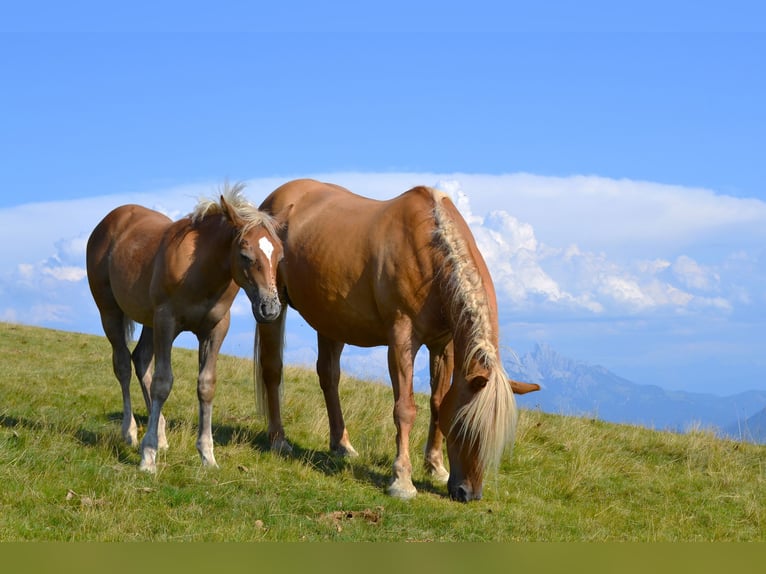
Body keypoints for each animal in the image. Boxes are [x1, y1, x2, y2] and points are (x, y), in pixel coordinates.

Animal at [86, 183, 284, 473]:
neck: (201, 272)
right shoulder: (166, 322)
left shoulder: (215, 330)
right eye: (245, 255)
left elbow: (206, 385)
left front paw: (207, 455)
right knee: (123, 365)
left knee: (141, 360)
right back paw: (131, 432)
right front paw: (148, 456)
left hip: (149, 322)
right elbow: (162, 383)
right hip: (110, 312)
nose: (269, 309)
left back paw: (161, 434)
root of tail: (108, 221)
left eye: (280, 255)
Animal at [254, 178, 526, 502]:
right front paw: (402, 480)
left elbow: (437, 402)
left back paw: (341, 444)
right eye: (465, 426)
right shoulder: (401, 341)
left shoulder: (443, 346)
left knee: (329, 376)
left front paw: (435, 466)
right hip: (274, 305)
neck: (429, 252)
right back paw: (278, 439)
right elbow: (404, 409)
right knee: (272, 370)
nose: (467, 493)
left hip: (331, 319)